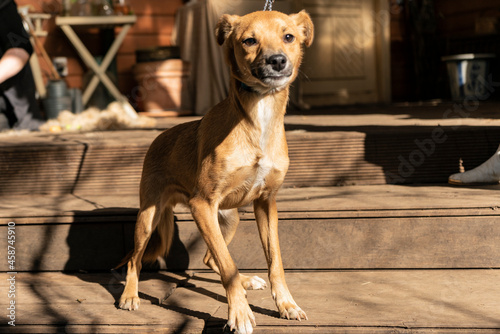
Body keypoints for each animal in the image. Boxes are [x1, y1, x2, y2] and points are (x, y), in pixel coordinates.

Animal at [117, 9, 312, 332]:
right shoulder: (202, 205)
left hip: (229, 219)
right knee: (136, 259)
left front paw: (286, 304)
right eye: (249, 40)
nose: (277, 60)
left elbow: (274, 262)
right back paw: (130, 296)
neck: (258, 116)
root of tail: (159, 138)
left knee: (211, 257)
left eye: (288, 36)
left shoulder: (266, 203)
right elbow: (228, 265)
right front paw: (240, 313)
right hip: (149, 217)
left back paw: (246, 282)